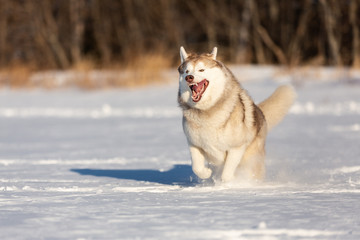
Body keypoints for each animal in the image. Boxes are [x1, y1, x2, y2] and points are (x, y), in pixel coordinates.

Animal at [177, 46, 296, 182]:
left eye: (201, 69)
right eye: (186, 71)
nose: (189, 77)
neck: (207, 110)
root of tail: (259, 112)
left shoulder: (236, 148)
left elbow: (226, 174)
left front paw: (231, 181)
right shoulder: (194, 145)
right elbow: (197, 168)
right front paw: (206, 173)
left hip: (251, 158)